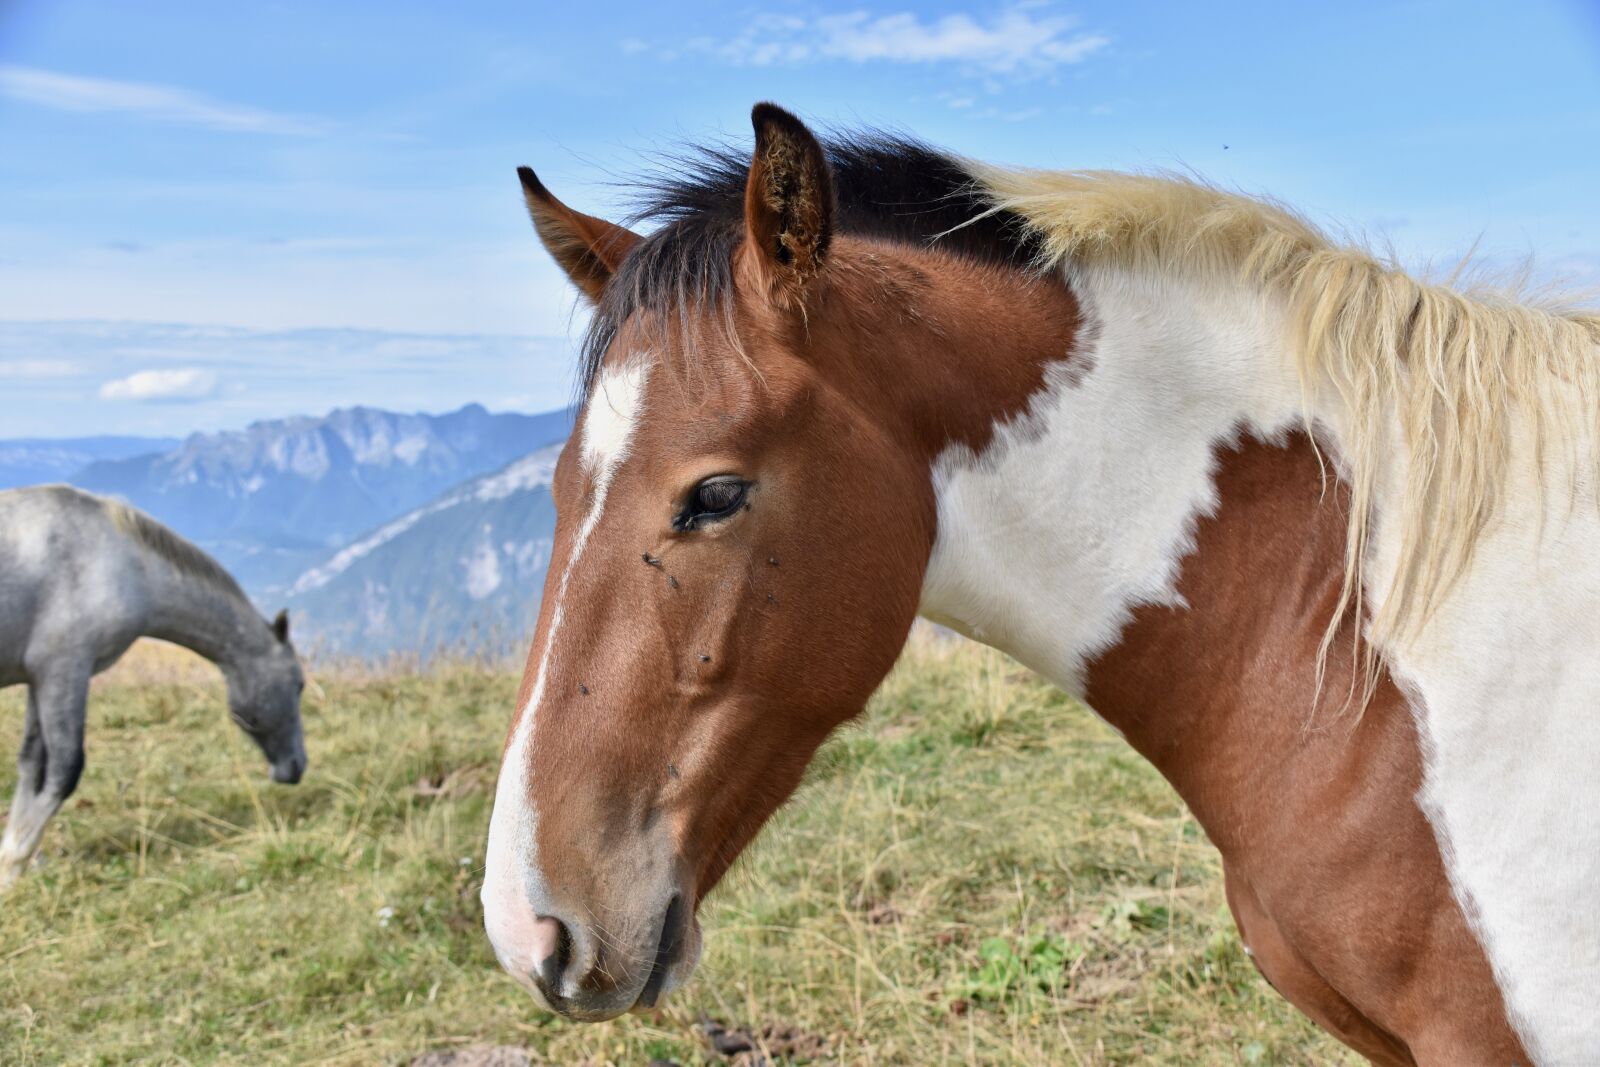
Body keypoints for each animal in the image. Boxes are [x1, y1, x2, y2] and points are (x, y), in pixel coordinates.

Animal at [0, 485, 307, 887]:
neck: (123, 562)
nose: (296, 765)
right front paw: (13, 864)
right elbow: (65, 768)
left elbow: (32, 764)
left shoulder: (40, 678)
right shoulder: (65, 670)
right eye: (299, 685)